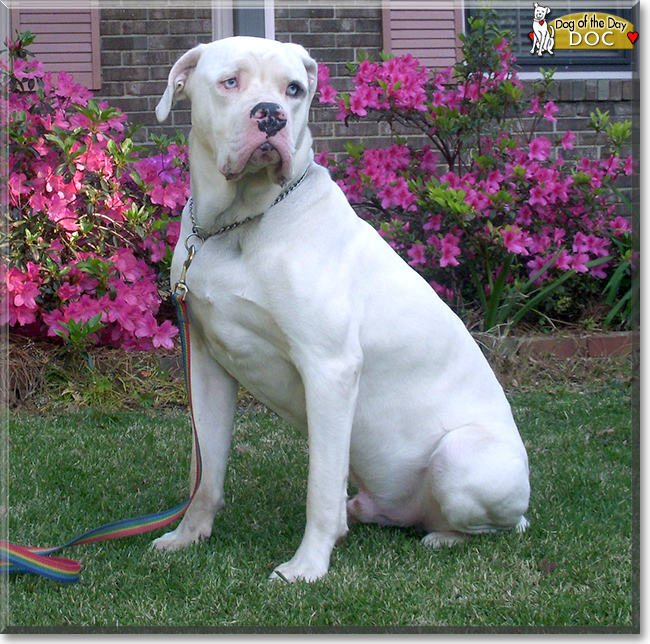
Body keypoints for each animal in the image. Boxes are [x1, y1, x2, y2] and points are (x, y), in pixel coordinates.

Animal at [154, 36, 528, 584]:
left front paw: (307, 566)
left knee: (486, 526)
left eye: (293, 89)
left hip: (463, 457)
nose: (270, 115)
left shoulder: (329, 370)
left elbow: (320, 485)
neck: (236, 226)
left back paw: (442, 537)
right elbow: (205, 471)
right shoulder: (206, 364)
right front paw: (187, 536)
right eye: (230, 82)